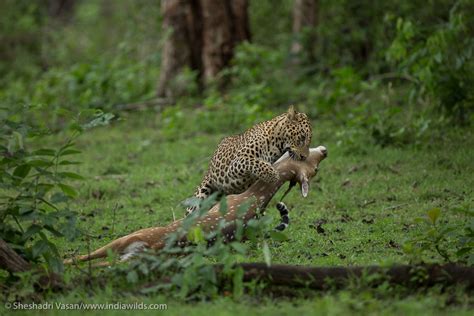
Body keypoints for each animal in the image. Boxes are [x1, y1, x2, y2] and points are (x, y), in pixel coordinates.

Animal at [65, 147, 328, 266]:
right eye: (314, 166)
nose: (324, 151)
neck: (256, 197)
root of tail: (148, 249)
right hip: (127, 252)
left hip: (131, 237)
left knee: (90, 258)